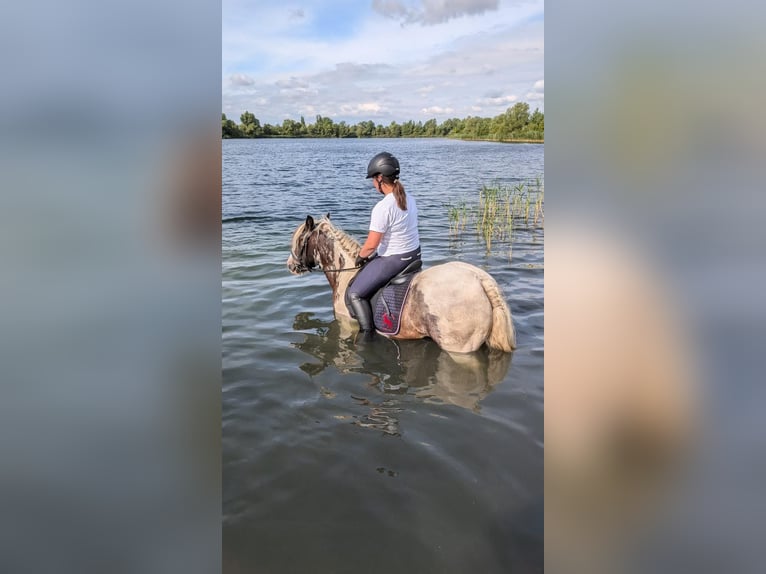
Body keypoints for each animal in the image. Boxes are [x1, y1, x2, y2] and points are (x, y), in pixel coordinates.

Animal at [286, 214, 516, 354]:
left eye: (299, 240)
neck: (345, 273)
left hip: (459, 349)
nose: (290, 265)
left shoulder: (346, 325)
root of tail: (481, 280)